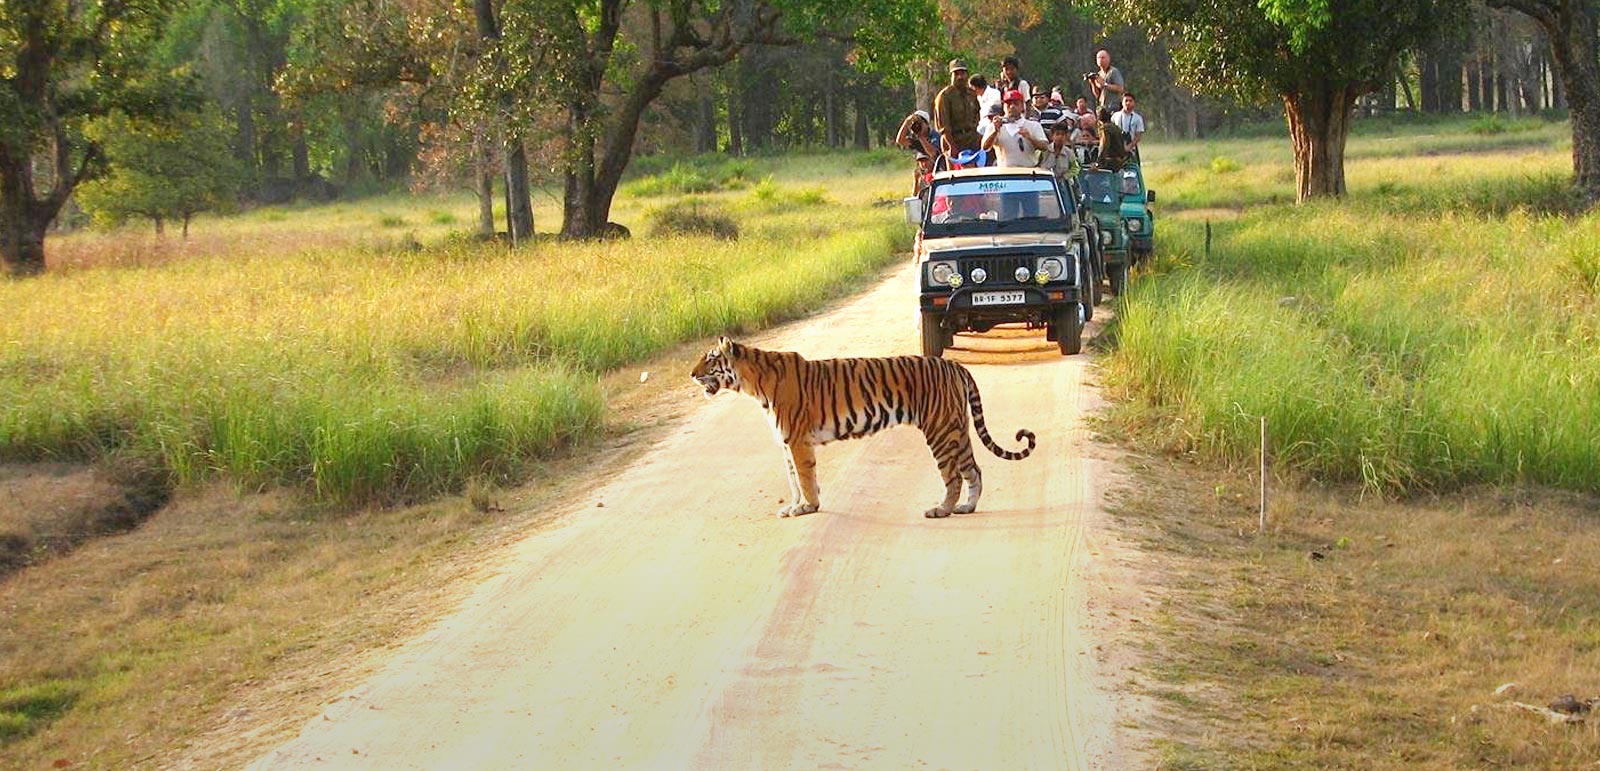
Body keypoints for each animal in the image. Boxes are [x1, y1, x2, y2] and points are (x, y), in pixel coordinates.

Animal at [688, 337, 1036, 518]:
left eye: (710, 359)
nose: (691, 374)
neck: (753, 384)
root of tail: (953, 363)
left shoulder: (797, 441)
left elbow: (805, 478)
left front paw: (808, 507)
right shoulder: (786, 444)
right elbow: (793, 481)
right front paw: (795, 506)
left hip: (940, 430)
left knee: (953, 476)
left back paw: (941, 509)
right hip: (957, 428)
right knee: (974, 470)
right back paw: (965, 507)